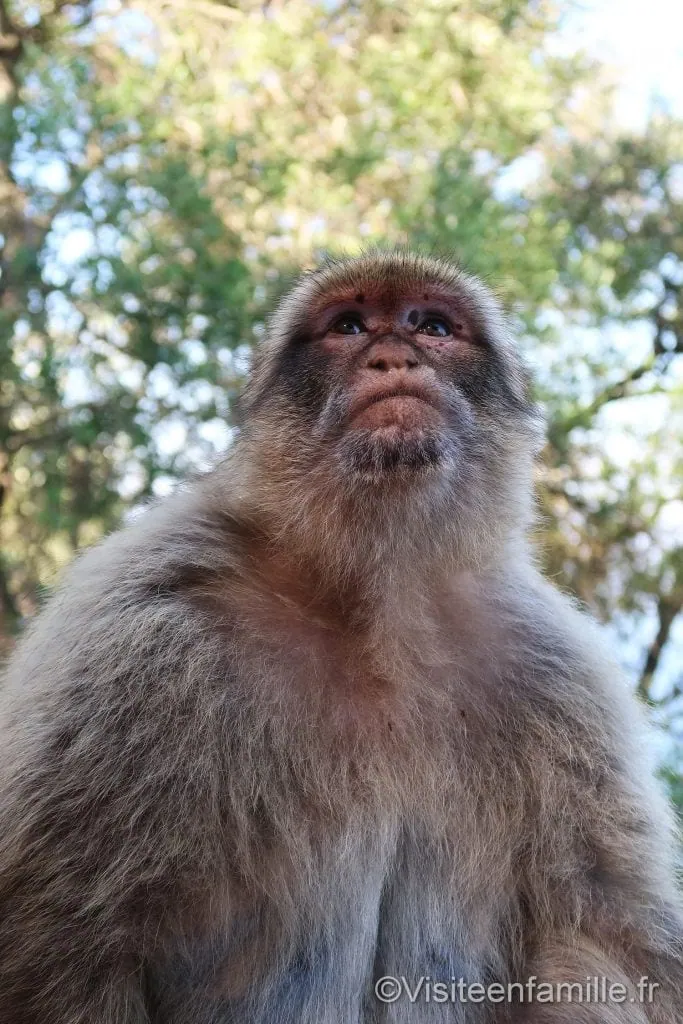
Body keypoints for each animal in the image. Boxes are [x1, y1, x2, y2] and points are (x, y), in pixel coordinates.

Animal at [0, 250, 682, 1024]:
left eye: (432, 325)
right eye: (349, 326)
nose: (392, 356)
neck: (376, 606)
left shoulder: (557, 673)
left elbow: (599, 935)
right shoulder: (132, 629)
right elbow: (61, 934)